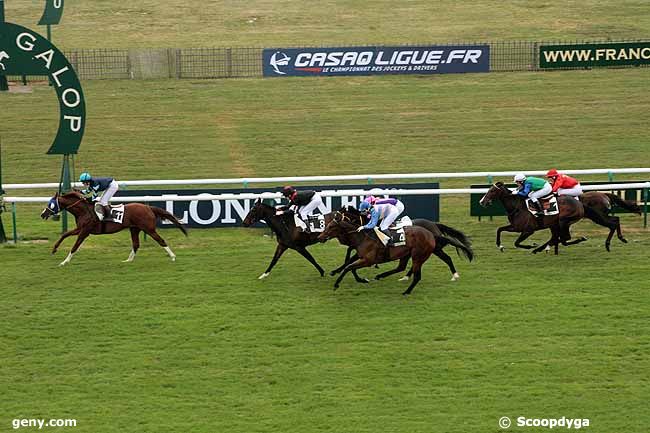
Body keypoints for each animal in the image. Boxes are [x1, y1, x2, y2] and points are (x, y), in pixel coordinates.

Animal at [41, 192, 185, 264]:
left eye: (51, 204)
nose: (43, 214)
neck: (84, 211)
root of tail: (148, 207)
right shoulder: (80, 229)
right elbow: (64, 234)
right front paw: (54, 249)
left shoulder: (85, 231)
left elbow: (75, 246)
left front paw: (64, 261)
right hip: (134, 229)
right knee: (136, 244)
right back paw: (128, 260)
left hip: (148, 229)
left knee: (161, 241)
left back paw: (172, 257)